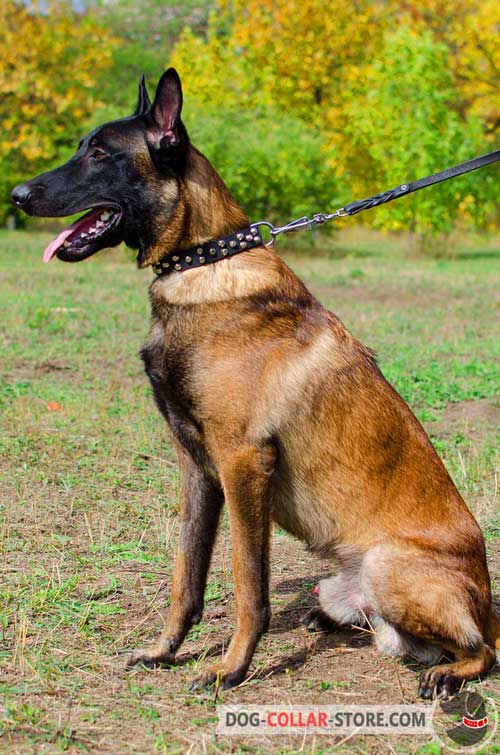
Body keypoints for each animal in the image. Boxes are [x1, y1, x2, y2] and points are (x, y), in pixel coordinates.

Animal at [13, 69, 498, 696]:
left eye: (99, 153)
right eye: (80, 146)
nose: (17, 195)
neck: (203, 262)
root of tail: (487, 600)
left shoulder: (243, 462)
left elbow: (250, 587)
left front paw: (231, 668)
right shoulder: (198, 467)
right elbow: (186, 578)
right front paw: (165, 652)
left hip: (390, 566)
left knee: (482, 649)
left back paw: (447, 675)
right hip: (338, 586)